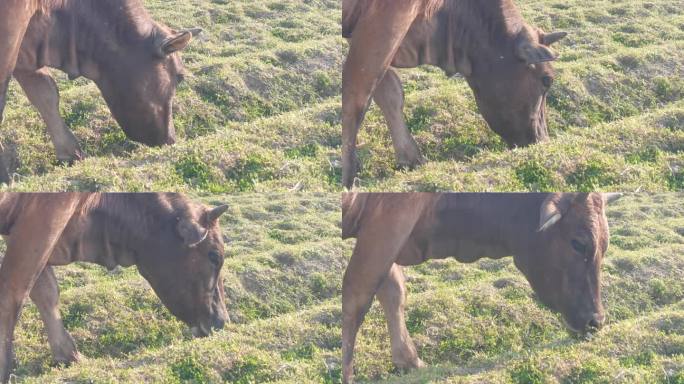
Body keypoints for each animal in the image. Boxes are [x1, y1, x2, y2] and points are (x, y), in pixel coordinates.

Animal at [0, 0, 200, 184]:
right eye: (180, 76)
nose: (170, 140)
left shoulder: (24, 49)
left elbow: (46, 93)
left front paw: (71, 153)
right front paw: (4, 177)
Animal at [0, 194, 230, 382]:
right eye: (214, 256)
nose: (223, 321)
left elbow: (46, 292)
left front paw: (68, 356)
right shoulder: (45, 215)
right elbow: (13, 293)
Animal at [340, 0, 568, 186]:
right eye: (547, 80)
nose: (543, 141)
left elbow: (389, 93)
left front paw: (410, 158)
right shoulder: (384, 23)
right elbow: (358, 96)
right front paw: (348, 179)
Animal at [340, 194, 620, 382]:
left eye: (605, 244)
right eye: (578, 243)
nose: (596, 321)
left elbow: (393, 292)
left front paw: (409, 360)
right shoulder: (386, 225)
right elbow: (356, 297)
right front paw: (348, 376)